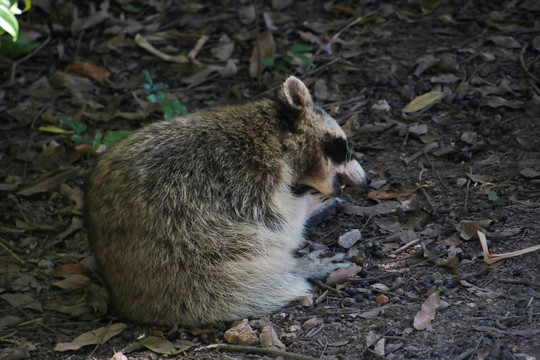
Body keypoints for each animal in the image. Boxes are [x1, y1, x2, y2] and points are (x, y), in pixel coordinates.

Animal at [84, 76, 370, 326]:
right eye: (343, 147)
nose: (365, 180)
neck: (274, 132)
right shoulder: (248, 177)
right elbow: (281, 223)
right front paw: (309, 204)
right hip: (187, 258)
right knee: (249, 253)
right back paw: (296, 268)